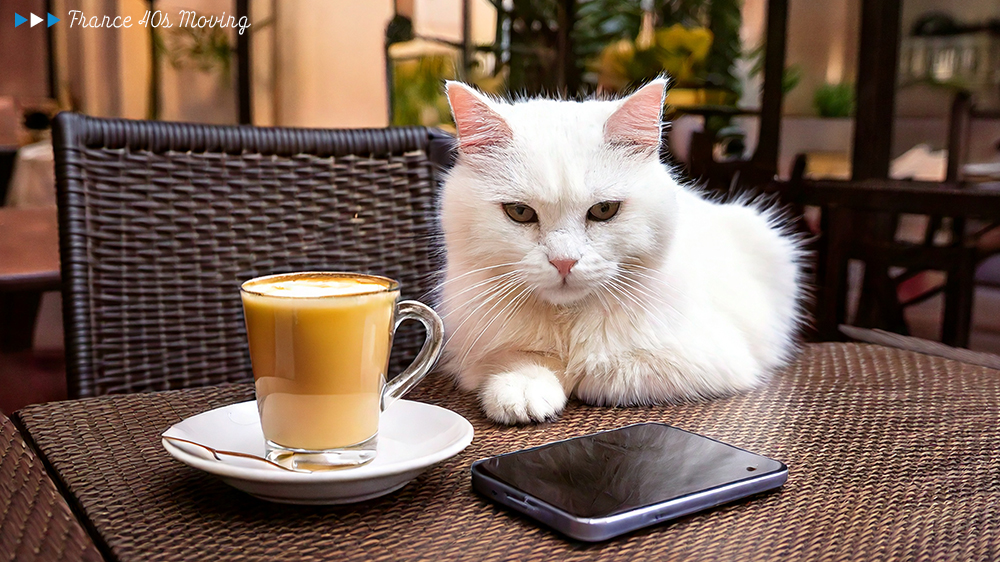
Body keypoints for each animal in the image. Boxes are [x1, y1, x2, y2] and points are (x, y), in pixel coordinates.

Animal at [438, 76, 804, 422]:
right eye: (519, 212)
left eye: (604, 210)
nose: (564, 262)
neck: (568, 319)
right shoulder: (475, 354)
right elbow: (518, 362)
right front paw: (524, 391)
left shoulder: (709, 360)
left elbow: (601, 372)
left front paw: (573, 375)